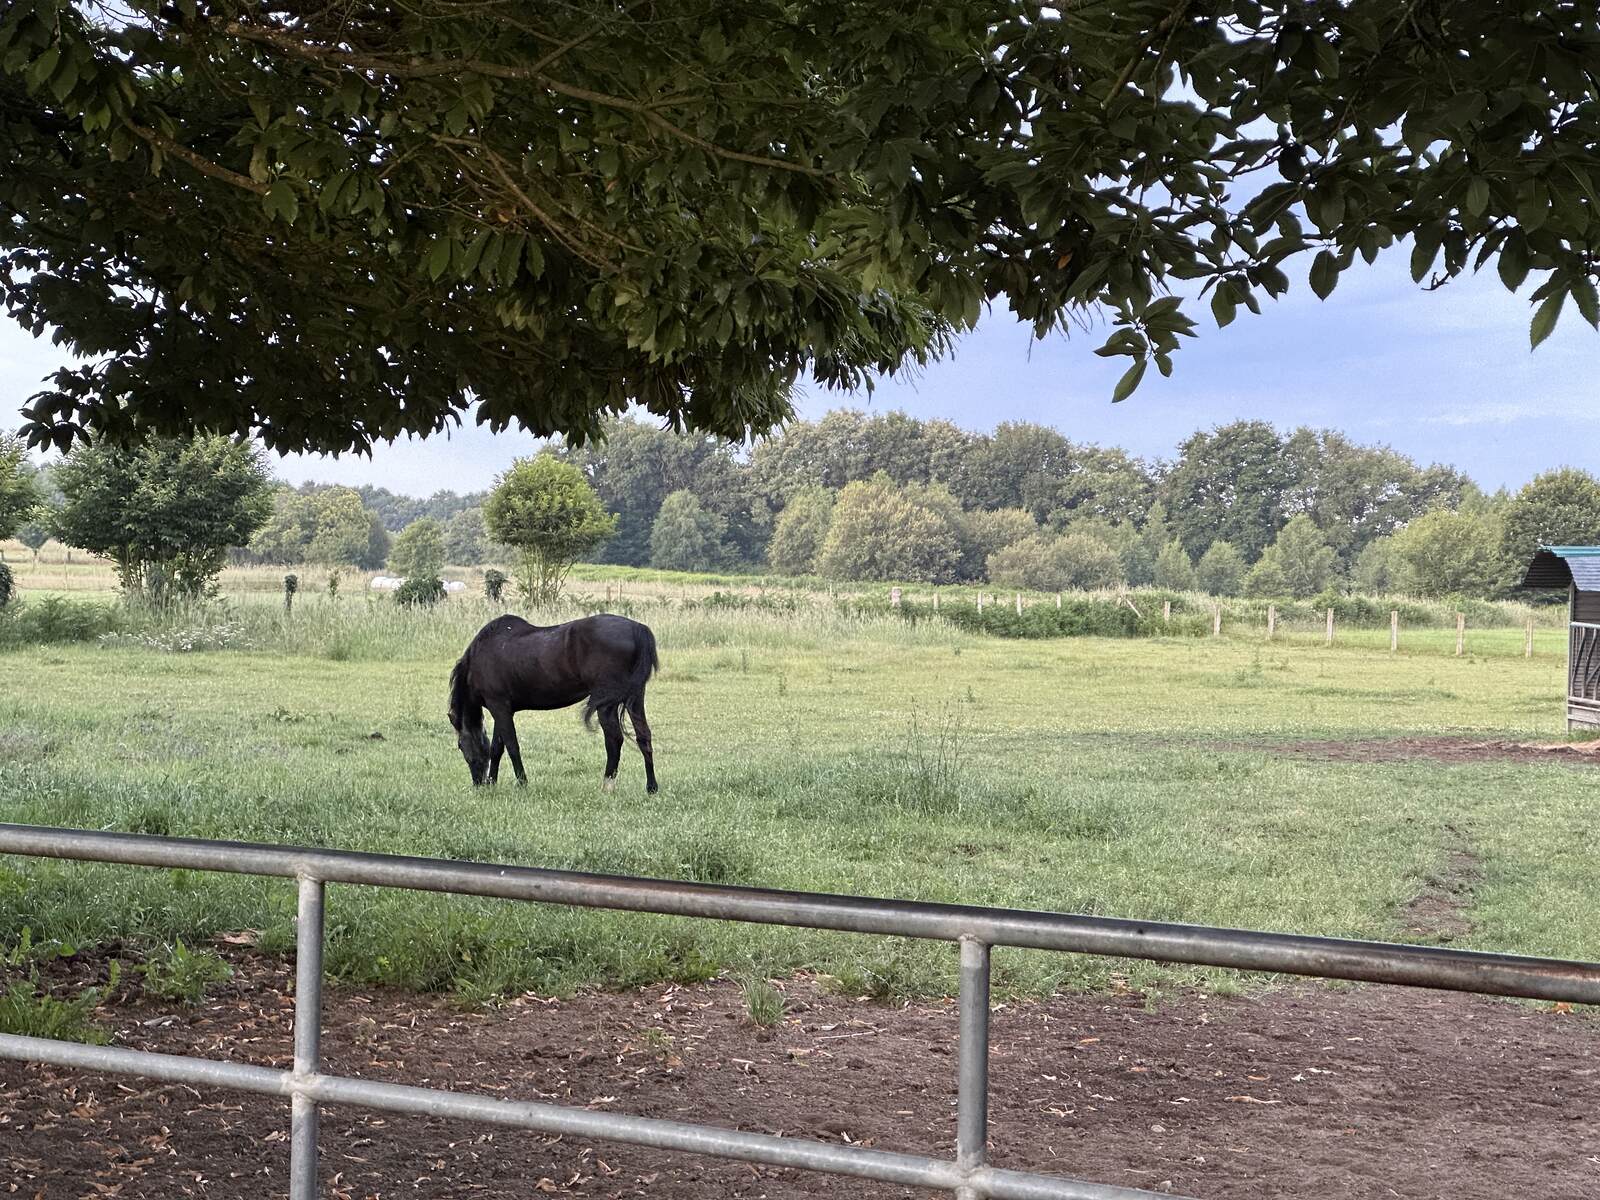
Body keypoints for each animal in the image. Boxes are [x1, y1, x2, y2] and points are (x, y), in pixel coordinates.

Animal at [447, 613, 659, 792]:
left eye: (460, 745)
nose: (478, 783)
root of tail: (637, 628)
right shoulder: (503, 710)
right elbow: (497, 748)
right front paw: (493, 783)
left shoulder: (498, 707)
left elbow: (511, 746)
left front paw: (522, 783)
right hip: (634, 698)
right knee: (643, 736)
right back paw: (651, 787)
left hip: (607, 705)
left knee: (614, 740)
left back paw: (607, 786)